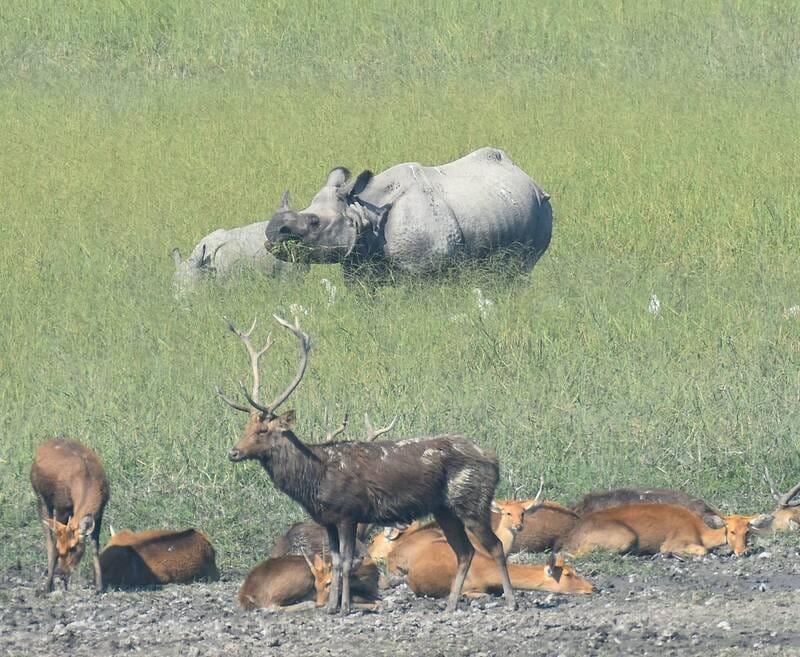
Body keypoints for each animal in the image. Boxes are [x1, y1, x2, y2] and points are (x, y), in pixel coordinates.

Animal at [265, 147, 552, 275]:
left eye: (314, 222)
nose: (270, 234)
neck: (363, 210)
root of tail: (525, 175)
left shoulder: (424, 272)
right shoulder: (359, 265)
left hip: (541, 207)